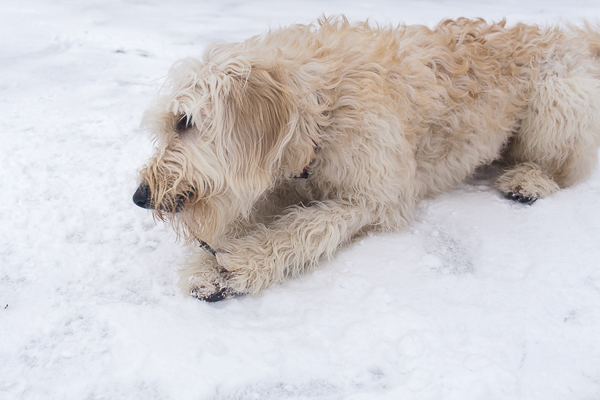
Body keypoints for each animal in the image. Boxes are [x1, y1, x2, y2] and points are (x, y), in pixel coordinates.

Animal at [133, 17, 600, 301]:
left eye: (184, 121)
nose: (141, 196)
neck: (322, 110)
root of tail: (572, 38)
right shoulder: (283, 178)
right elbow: (244, 213)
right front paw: (205, 264)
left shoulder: (379, 195)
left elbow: (308, 224)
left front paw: (242, 263)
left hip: (556, 101)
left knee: (563, 166)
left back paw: (529, 180)